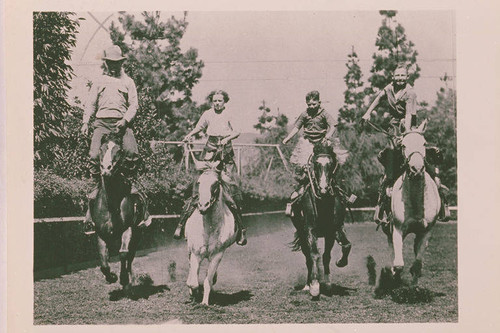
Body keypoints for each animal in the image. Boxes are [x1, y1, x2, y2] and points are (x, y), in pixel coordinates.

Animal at [89, 131, 146, 292]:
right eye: (101, 149)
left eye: (119, 151)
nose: (106, 169)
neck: (110, 205)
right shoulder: (100, 233)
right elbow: (103, 260)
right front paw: (111, 277)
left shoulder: (128, 229)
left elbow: (123, 254)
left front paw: (123, 279)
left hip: (137, 235)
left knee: (130, 256)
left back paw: (130, 281)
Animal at [185, 165, 237, 304]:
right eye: (199, 182)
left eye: (216, 183)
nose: (203, 206)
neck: (209, 228)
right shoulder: (196, 253)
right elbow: (193, 282)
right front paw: (193, 294)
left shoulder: (217, 255)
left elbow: (207, 281)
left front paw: (204, 302)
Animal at [388, 120, 440, 284]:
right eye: (403, 145)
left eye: (424, 143)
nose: (416, 169)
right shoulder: (397, 229)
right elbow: (398, 264)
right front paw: (395, 275)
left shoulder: (426, 232)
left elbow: (417, 264)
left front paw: (414, 283)